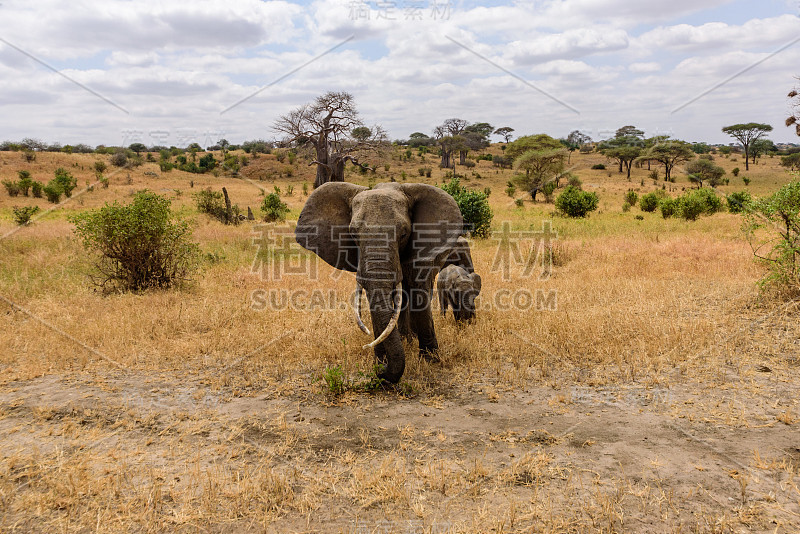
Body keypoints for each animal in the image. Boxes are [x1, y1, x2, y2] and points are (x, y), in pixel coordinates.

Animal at [296, 184, 466, 386]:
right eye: (353, 234)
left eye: (404, 234)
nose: (380, 369)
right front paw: (381, 362)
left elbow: (419, 294)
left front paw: (430, 360)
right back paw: (405, 339)